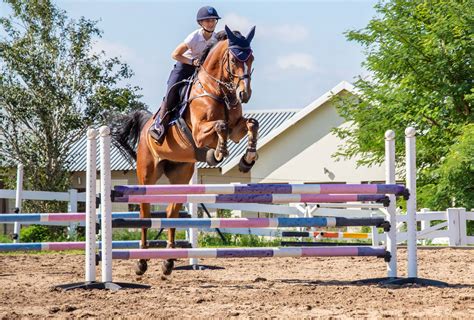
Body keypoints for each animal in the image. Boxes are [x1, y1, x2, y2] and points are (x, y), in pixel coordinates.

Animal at [110, 25, 258, 276]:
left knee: (171, 213)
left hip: (180, 174)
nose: (244, 95)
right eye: (234, 59)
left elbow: (251, 124)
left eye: (251, 59)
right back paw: (141, 262)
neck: (219, 91)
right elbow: (221, 126)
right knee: (145, 214)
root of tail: (146, 125)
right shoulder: (199, 131)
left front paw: (248, 159)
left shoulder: (237, 128)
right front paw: (217, 153)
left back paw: (168, 261)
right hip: (147, 175)